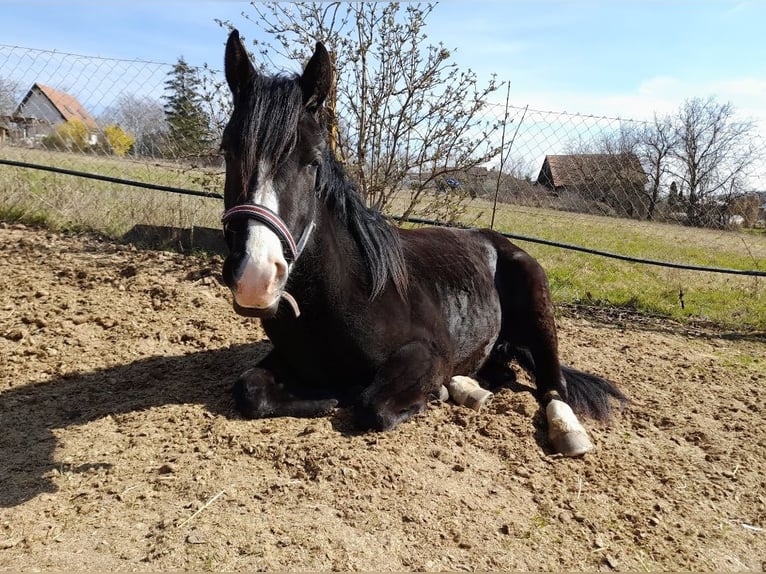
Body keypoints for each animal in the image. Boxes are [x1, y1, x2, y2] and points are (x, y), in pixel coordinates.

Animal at [219, 30, 628, 460]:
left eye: (312, 160)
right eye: (227, 150)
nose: (256, 276)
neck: (342, 292)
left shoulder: (427, 353)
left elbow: (372, 405)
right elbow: (249, 388)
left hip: (540, 306)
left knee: (553, 387)